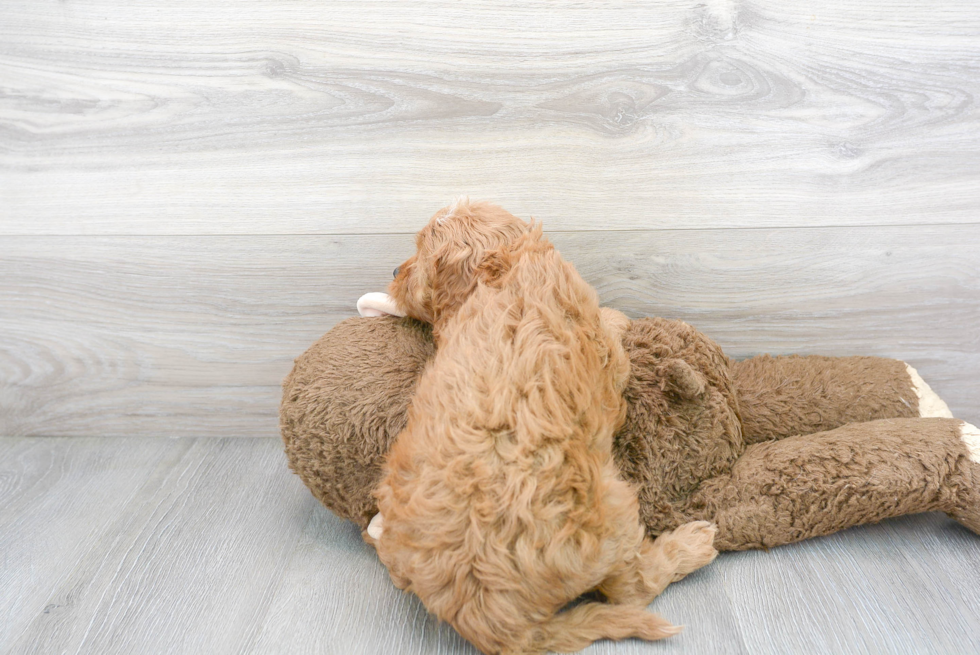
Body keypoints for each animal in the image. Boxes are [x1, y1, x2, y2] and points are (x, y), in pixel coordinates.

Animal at [368, 200, 712, 655]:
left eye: (421, 253)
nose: (393, 270)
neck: (504, 269)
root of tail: (488, 620)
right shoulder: (610, 355)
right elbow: (612, 328)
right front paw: (619, 317)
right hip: (612, 509)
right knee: (631, 589)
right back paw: (693, 544)